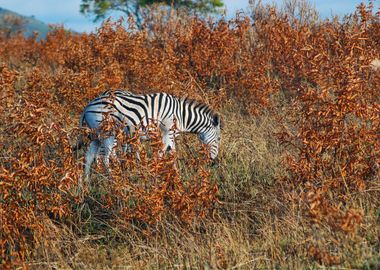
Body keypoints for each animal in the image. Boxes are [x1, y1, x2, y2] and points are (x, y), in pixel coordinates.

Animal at [75, 90, 221, 179]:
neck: (180, 116)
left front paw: (175, 173)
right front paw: (155, 171)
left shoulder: (171, 136)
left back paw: (86, 181)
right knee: (106, 157)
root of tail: (87, 106)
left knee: (90, 156)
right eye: (219, 139)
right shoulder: (166, 132)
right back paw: (114, 177)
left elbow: (172, 153)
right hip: (108, 133)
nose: (212, 163)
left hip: (96, 135)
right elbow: (162, 153)